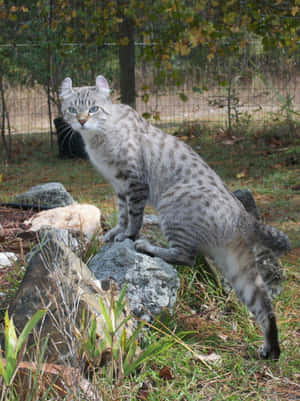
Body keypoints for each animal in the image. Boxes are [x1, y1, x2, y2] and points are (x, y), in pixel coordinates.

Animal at [59, 75, 290, 360]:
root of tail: (242, 215)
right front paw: (115, 233)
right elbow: (122, 214)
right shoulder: (119, 186)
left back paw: (148, 247)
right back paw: (271, 349)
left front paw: (127, 236)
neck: (99, 136)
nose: (81, 121)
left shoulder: (134, 183)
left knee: (186, 257)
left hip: (171, 205)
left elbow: (133, 217)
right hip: (237, 266)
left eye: (93, 109)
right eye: (72, 109)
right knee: (263, 304)